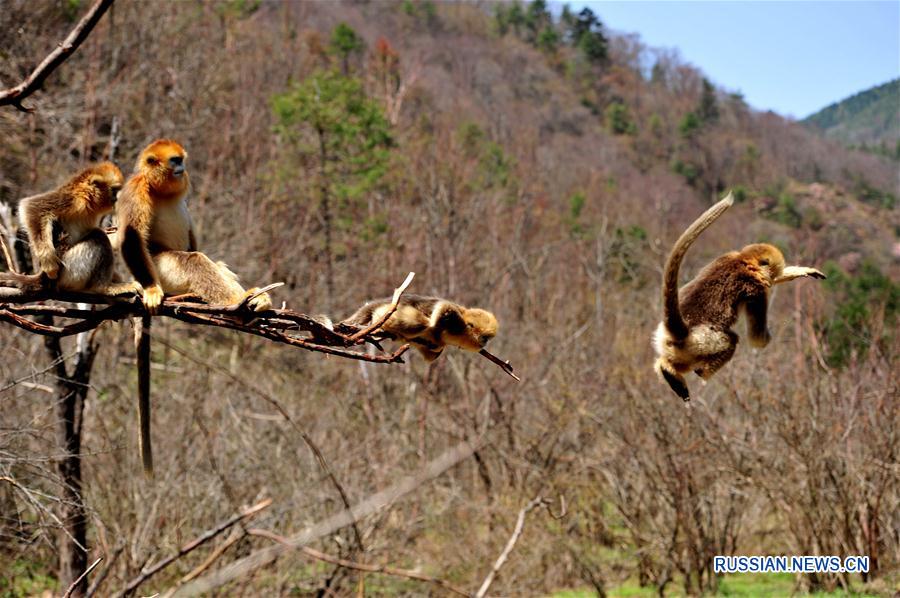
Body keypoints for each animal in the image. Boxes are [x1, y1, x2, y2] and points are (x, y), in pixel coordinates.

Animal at [342, 294, 500, 360]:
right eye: (485, 337)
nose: (485, 342)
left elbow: (432, 354)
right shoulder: (456, 321)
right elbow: (443, 307)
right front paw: (433, 323)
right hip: (389, 312)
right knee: (421, 323)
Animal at [652, 193, 828, 404]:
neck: (743, 260)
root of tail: (680, 331)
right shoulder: (756, 288)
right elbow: (757, 338)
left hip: (671, 344)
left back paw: (667, 370)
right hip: (703, 340)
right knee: (730, 341)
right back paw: (699, 372)